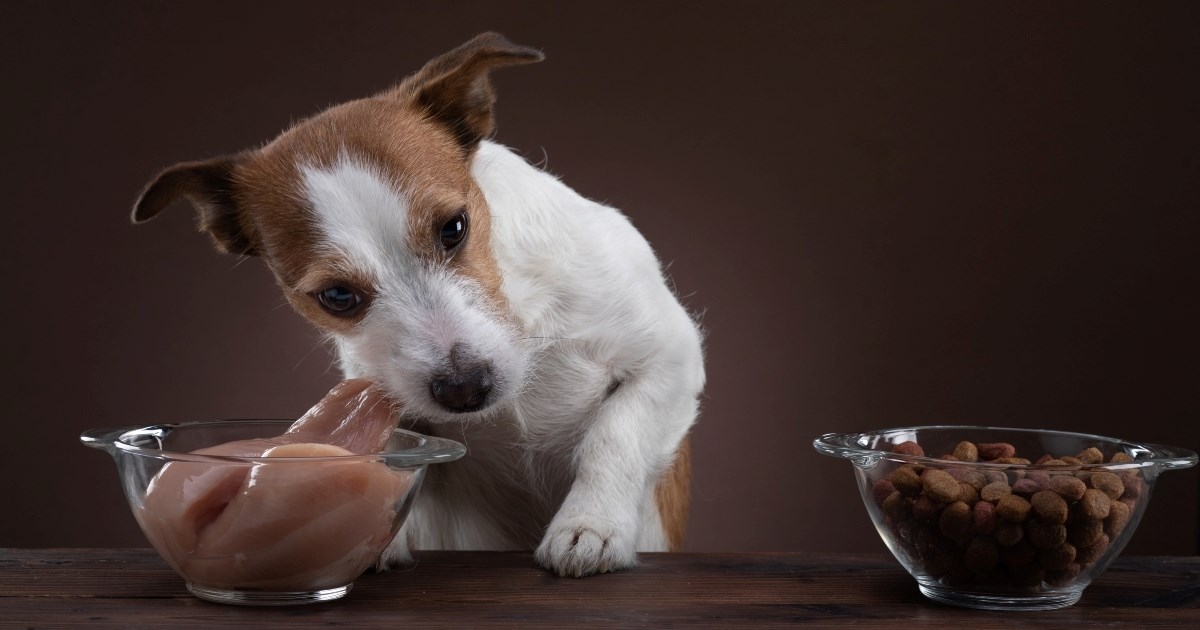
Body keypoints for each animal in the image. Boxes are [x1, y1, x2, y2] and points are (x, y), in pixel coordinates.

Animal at [131, 31, 700, 578]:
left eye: (454, 227)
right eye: (337, 296)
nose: (465, 389)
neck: (520, 319)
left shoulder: (669, 358)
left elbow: (615, 436)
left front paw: (589, 525)